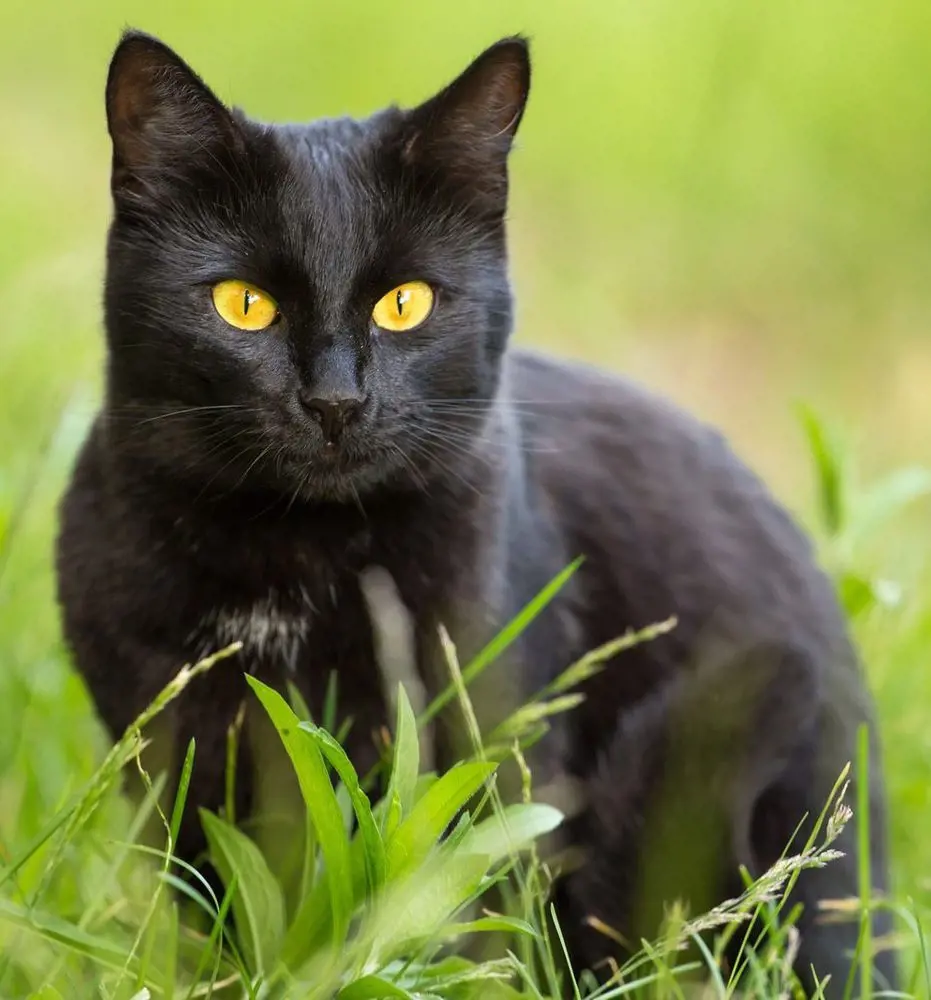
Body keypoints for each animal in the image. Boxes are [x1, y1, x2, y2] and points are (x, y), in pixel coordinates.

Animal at [56, 29, 896, 992]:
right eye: (243, 304)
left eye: (405, 303)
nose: (336, 400)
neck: (296, 561)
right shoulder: (170, 748)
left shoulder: (491, 738)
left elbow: (464, 921)